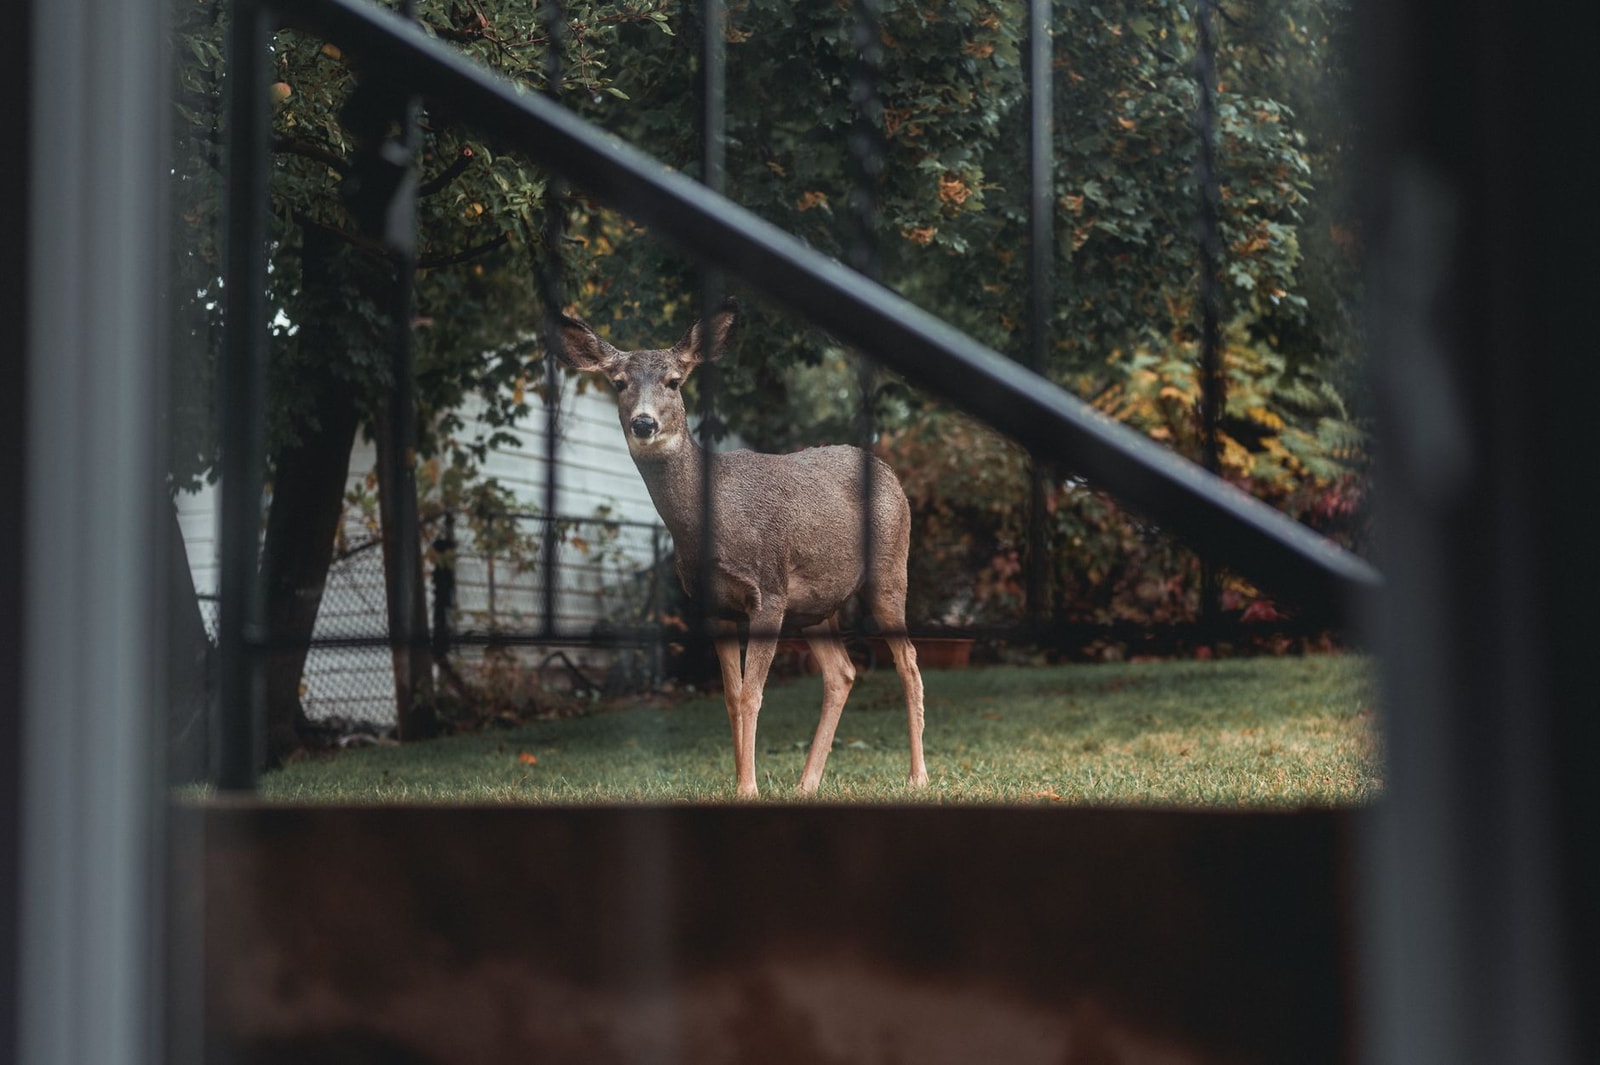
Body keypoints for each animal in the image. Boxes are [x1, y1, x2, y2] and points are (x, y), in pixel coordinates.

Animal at [557, 298, 927, 798]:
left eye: (674, 380)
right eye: (618, 383)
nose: (644, 422)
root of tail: (890, 473)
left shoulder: (767, 591)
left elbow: (752, 693)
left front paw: (748, 789)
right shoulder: (714, 606)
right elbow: (732, 696)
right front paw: (741, 782)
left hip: (889, 570)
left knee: (908, 661)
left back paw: (917, 776)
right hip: (816, 604)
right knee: (842, 673)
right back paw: (806, 784)